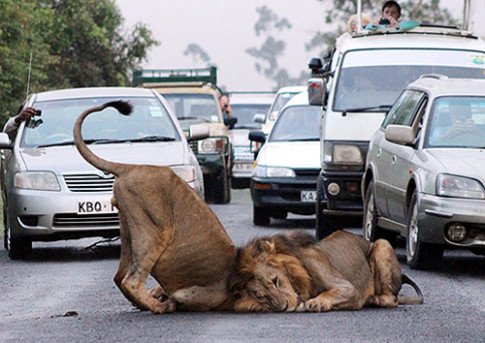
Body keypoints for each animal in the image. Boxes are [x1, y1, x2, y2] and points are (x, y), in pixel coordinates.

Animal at [73, 101, 237, 314]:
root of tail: (130, 167)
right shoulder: (205, 294)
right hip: (154, 231)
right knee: (130, 281)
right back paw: (160, 307)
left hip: (128, 229)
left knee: (119, 276)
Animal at [229, 230, 422, 314]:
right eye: (260, 296)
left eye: (276, 280)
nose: (283, 307)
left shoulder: (349, 288)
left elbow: (334, 292)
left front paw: (317, 302)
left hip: (382, 243)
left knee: (392, 299)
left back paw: (373, 299)